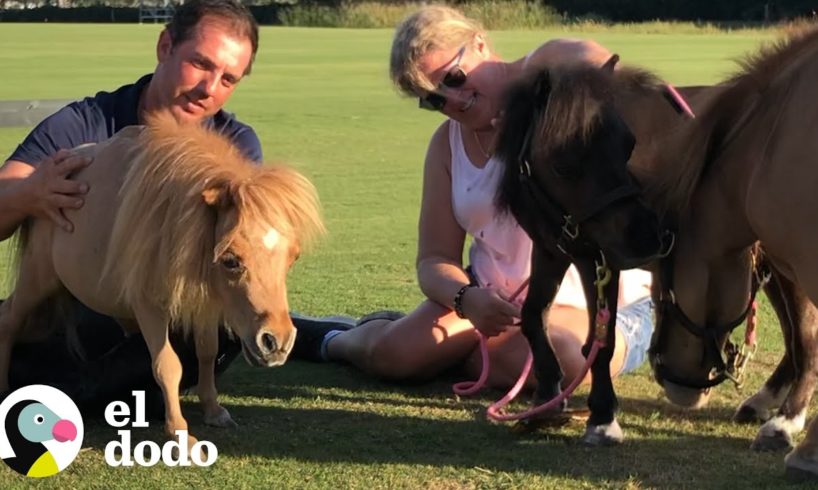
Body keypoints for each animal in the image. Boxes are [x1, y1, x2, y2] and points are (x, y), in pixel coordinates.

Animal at [0, 113, 326, 450]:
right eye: (231, 261)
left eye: (293, 257)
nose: (277, 342)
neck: (172, 219)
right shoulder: (149, 305)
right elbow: (167, 365)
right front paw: (179, 432)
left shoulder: (205, 299)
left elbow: (207, 350)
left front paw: (213, 409)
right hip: (38, 276)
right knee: (10, 319)